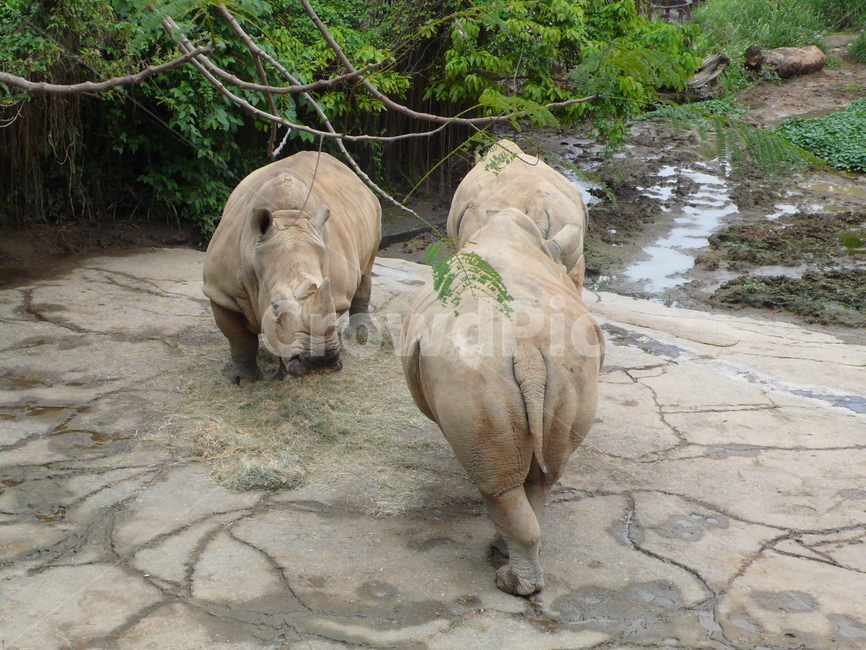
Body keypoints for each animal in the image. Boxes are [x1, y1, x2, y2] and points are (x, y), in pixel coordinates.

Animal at [203, 151, 381, 385]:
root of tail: (352, 174)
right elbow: (238, 337)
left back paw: (362, 335)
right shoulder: (221, 292)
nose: (320, 361)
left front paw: (283, 377)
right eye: (275, 307)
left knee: (367, 268)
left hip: (375, 210)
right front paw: (242, 380)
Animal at [401, 208, 604, 595]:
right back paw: (509, 557)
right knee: (543, 477)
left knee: (499, 486)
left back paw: (508, 581)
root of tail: (526, 351)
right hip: (567, 368)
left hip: (476, 374)